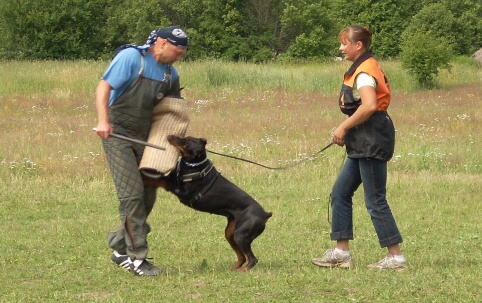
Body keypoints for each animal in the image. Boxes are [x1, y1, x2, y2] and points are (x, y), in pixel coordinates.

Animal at [143, 135, 272, 274]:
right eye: (185, 136)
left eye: (186, 143)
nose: (169, 136)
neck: (193, 165)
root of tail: (265, 214)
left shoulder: (179, 190)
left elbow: (157, 179)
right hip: (230, 233)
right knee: (242, 257)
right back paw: (233, 269)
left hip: (241, 235)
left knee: (252, 259)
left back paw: (241, 271)